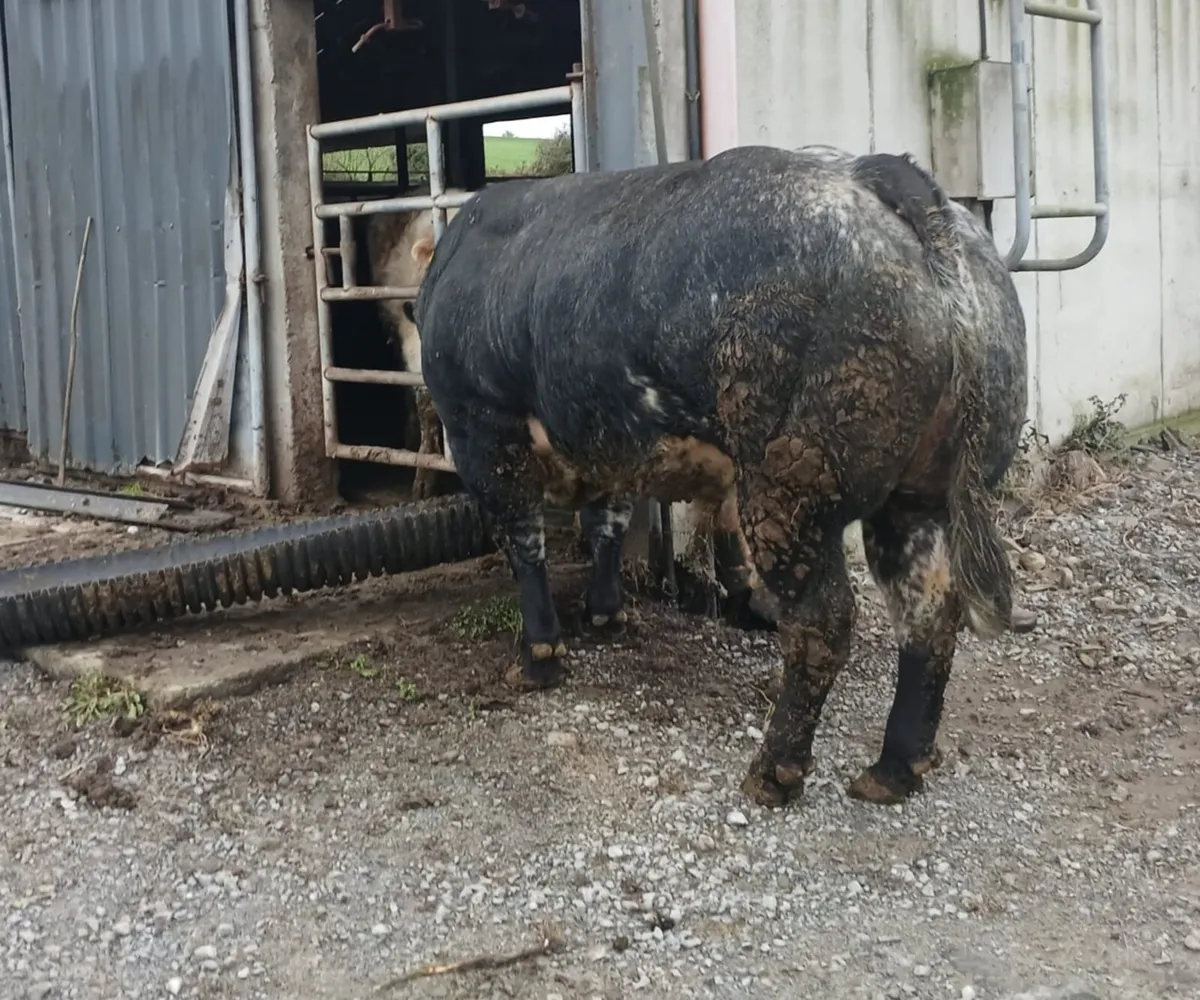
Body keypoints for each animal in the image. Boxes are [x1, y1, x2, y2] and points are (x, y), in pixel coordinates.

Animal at [408, 143, 1028, 810]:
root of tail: (878, 178)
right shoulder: (607, 431)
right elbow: (607, 523)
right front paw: (605, 615)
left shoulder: (482, 429)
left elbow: (526, 544)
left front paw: (539, 656)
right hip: (919, 497)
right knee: (929, 615)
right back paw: (894, 767)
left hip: (790, 490)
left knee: (822, 623)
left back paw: (776, 770)